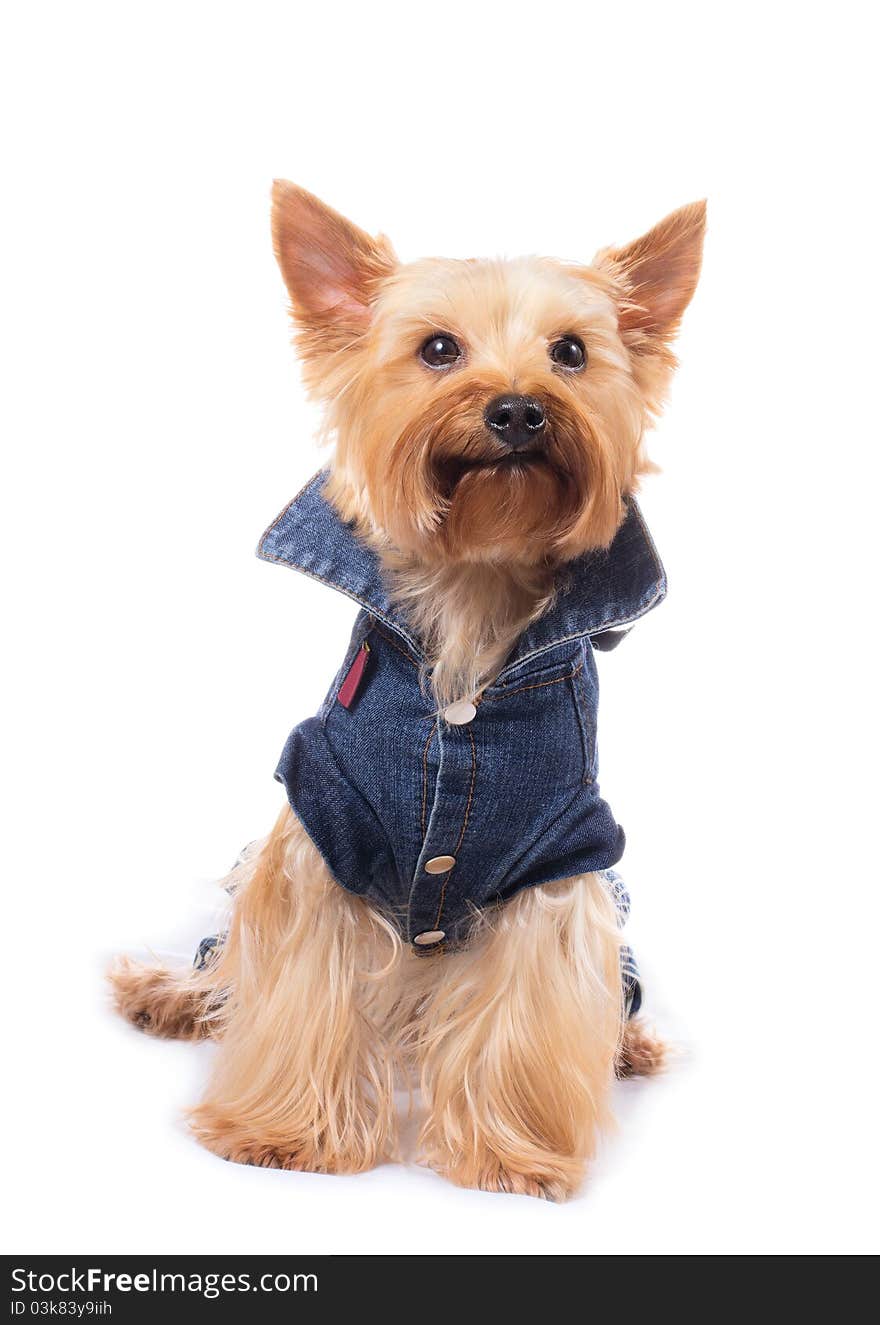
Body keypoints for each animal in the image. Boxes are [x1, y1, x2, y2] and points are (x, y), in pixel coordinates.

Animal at [111, 186, 699, 1203]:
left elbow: (526, 1011)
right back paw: (170, 995)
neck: (476, 582)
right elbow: (300, 987)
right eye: (437, 349)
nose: (518, 409)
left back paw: (627, 1045)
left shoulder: (560, 863)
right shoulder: (323, 831)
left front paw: (508, 1156)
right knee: (229, 962)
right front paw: (286, 1136)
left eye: (571, 352)